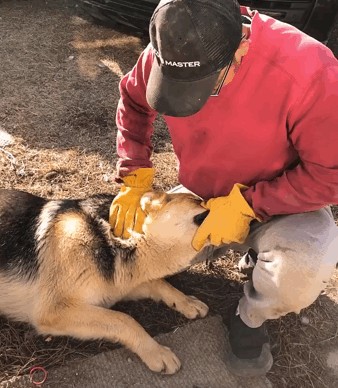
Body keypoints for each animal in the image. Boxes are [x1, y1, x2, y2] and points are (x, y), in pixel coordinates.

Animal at [0, 189, 210, 374]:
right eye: (198, 201)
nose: (212, 200)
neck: (110, 238)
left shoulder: (118, 285)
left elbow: (159, 284)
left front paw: (187, 302)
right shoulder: (54, 311)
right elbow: (125, 319)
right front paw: (156, 352)